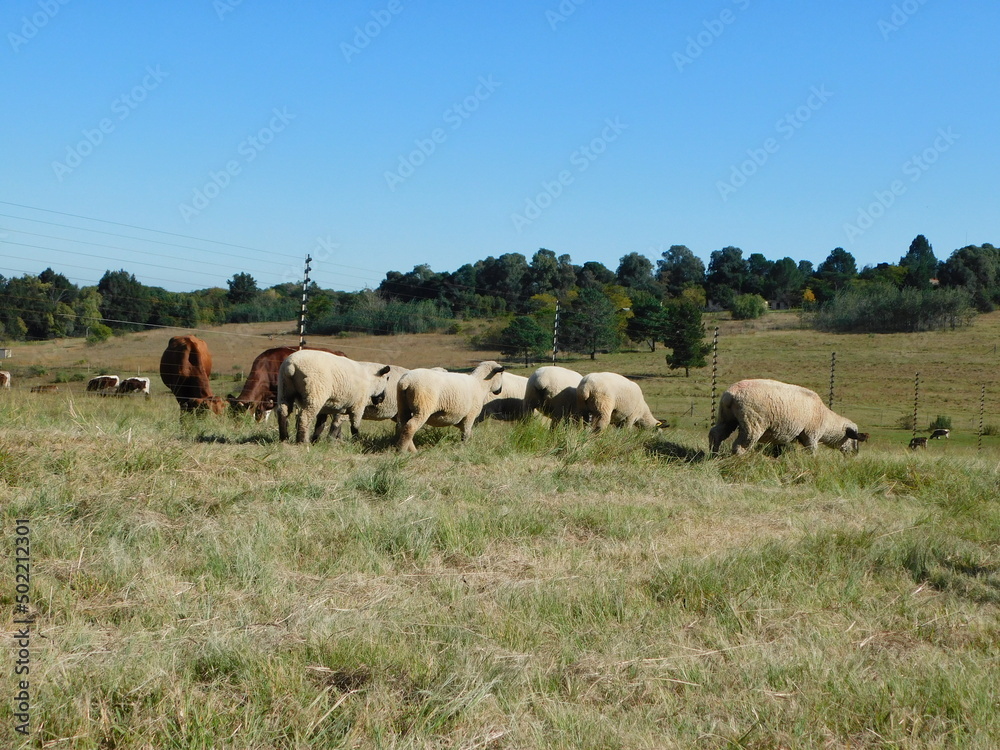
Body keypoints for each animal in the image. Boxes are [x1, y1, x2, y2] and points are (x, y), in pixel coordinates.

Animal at [708, 378, 864, 456]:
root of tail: (731, 394)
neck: (826, 420)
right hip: (753, 422)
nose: (855, 454)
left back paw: (713, 455)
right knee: (740, 446)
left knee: (716, 434)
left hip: (727, 417)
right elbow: (812, 451)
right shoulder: (811, 434)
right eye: (854, 438)